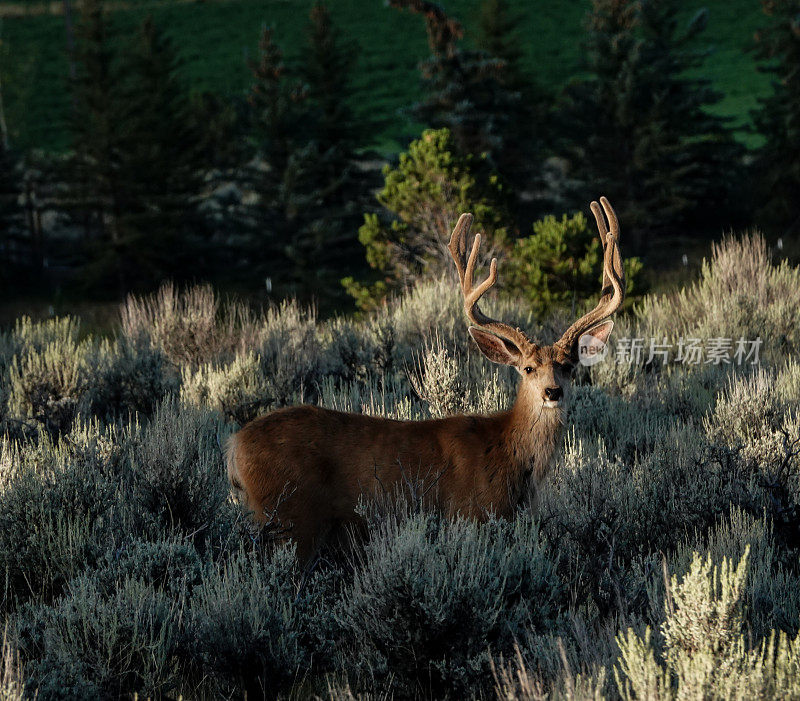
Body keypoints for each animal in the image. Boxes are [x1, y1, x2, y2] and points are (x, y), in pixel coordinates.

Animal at [225, 197, 624, 564]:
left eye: (568, 365)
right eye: (527, 368)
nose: (552, 391)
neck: (508, 456)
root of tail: (233, 446)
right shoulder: (469, 514)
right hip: (291, 519)